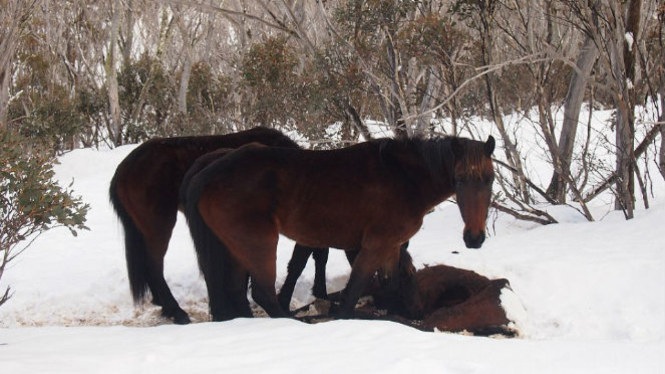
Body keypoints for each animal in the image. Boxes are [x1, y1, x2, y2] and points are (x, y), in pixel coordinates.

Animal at [182, 134, 492, 318]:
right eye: (460, 179)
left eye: (489, 179)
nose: (474, 238)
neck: (403, 178)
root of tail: (211, 171)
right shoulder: (374, 245)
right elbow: (354, 289)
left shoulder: (391, 247)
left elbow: (391, 283)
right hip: (259, 243)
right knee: (262, 292)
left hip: (235, 248)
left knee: (237, 291)